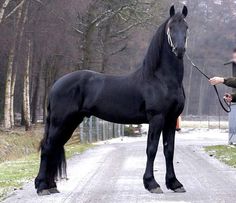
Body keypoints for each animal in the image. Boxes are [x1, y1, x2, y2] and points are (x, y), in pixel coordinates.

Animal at [35, 4, 189, 195]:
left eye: (186, 27)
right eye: (170, 27)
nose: (179, 50)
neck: (161, 79)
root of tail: (56, 84)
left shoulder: (171, 119)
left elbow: (169, 150)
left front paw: (174, 183)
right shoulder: (157, 118)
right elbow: (152, 149)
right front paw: (152, 184)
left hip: (70, 122)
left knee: (54, 147)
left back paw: (51, 186)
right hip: (60, 122)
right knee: (48, 147)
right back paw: (42, 187)